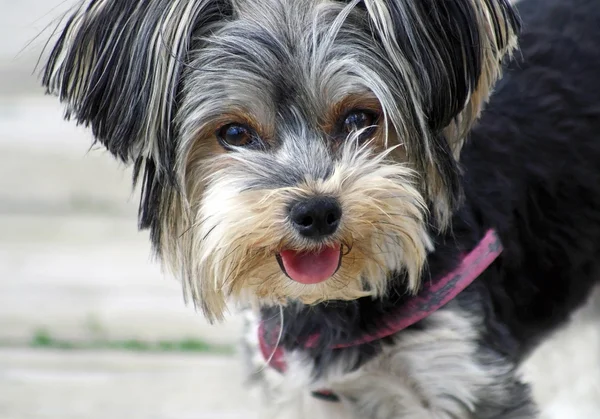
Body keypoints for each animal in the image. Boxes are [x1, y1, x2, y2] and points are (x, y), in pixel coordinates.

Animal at [41, 0, 600, 418]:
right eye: (234, 134)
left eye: (360, 119)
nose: (315, 211)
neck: (339, 299)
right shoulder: (304, 394)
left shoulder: (461, 373)